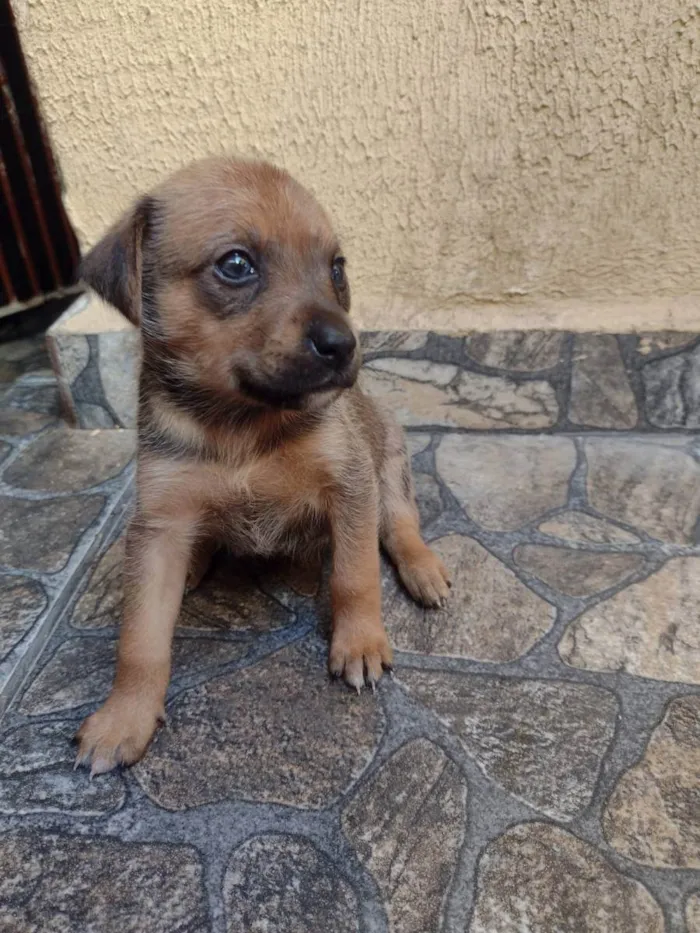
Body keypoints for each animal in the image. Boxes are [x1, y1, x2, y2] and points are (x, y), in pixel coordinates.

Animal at [75, 158, 448, 772]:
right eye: (235, 265)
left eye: (337, 268)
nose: (344, 345)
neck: (243, 425)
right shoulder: (160, 519)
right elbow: (141, 640)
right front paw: (123, 718)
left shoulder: (350, 485)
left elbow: (355, 575)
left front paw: (360, 643)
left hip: (390, 465)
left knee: (399, 525)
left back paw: (424, 569)